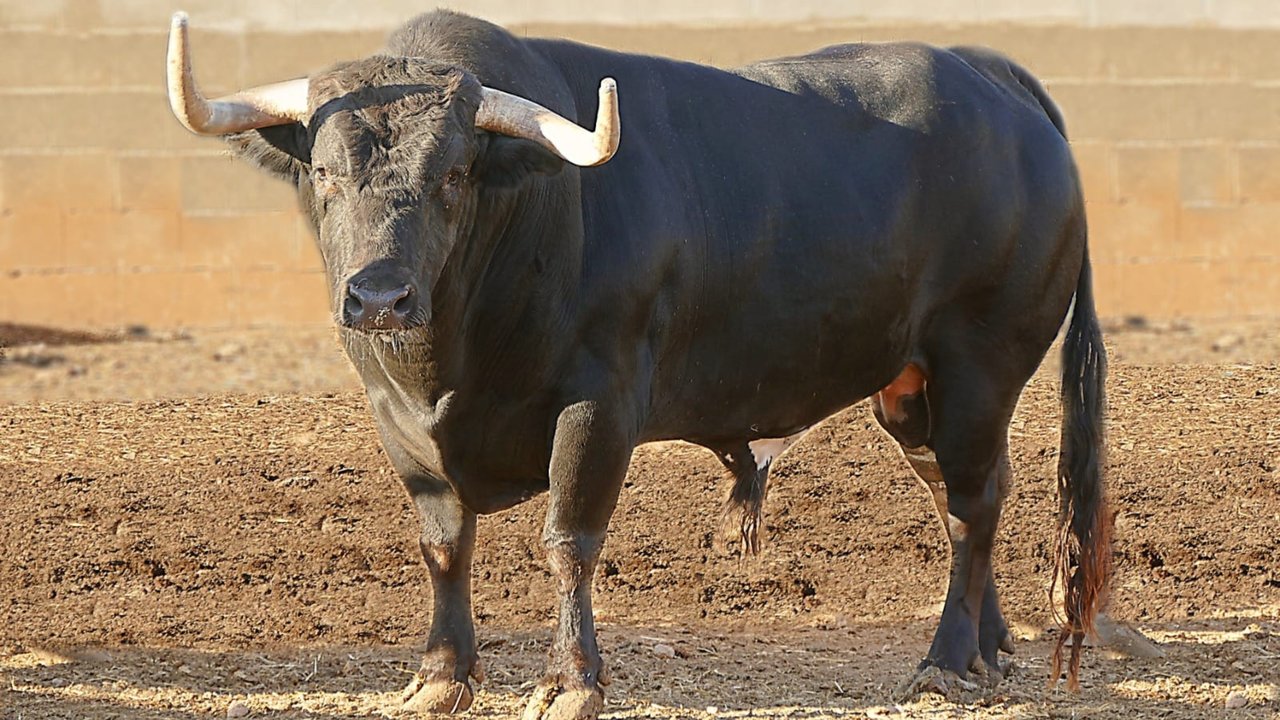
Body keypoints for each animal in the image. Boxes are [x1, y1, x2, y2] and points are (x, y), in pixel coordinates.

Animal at [192, 8, 1111, 712]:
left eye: (453, 175)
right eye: (324, 172)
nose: (379, 297)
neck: (447, 366)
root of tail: (987, 75)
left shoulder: (599, 403)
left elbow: (569, 540)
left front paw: (570, 685)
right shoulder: (396, 422)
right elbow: (444, 544)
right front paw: (439, 678)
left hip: (980, 362)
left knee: (971, 502)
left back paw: (946, 661)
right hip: (911, 387)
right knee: (968, 494)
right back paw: (989, 644)